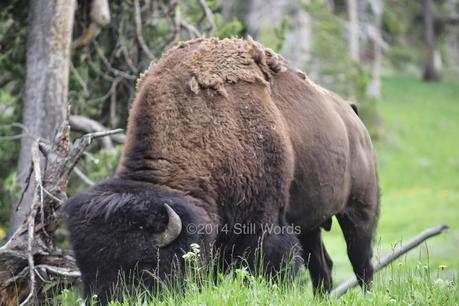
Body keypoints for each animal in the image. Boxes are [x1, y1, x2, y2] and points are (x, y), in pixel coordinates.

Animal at [64, 37, 380, 302]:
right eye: (85, 266)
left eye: (144, 265)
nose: (103, 299)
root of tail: (352, 116)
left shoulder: (265, 225)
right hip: (311, 223)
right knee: (322, 264)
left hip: (359, 210)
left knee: (361, 259)